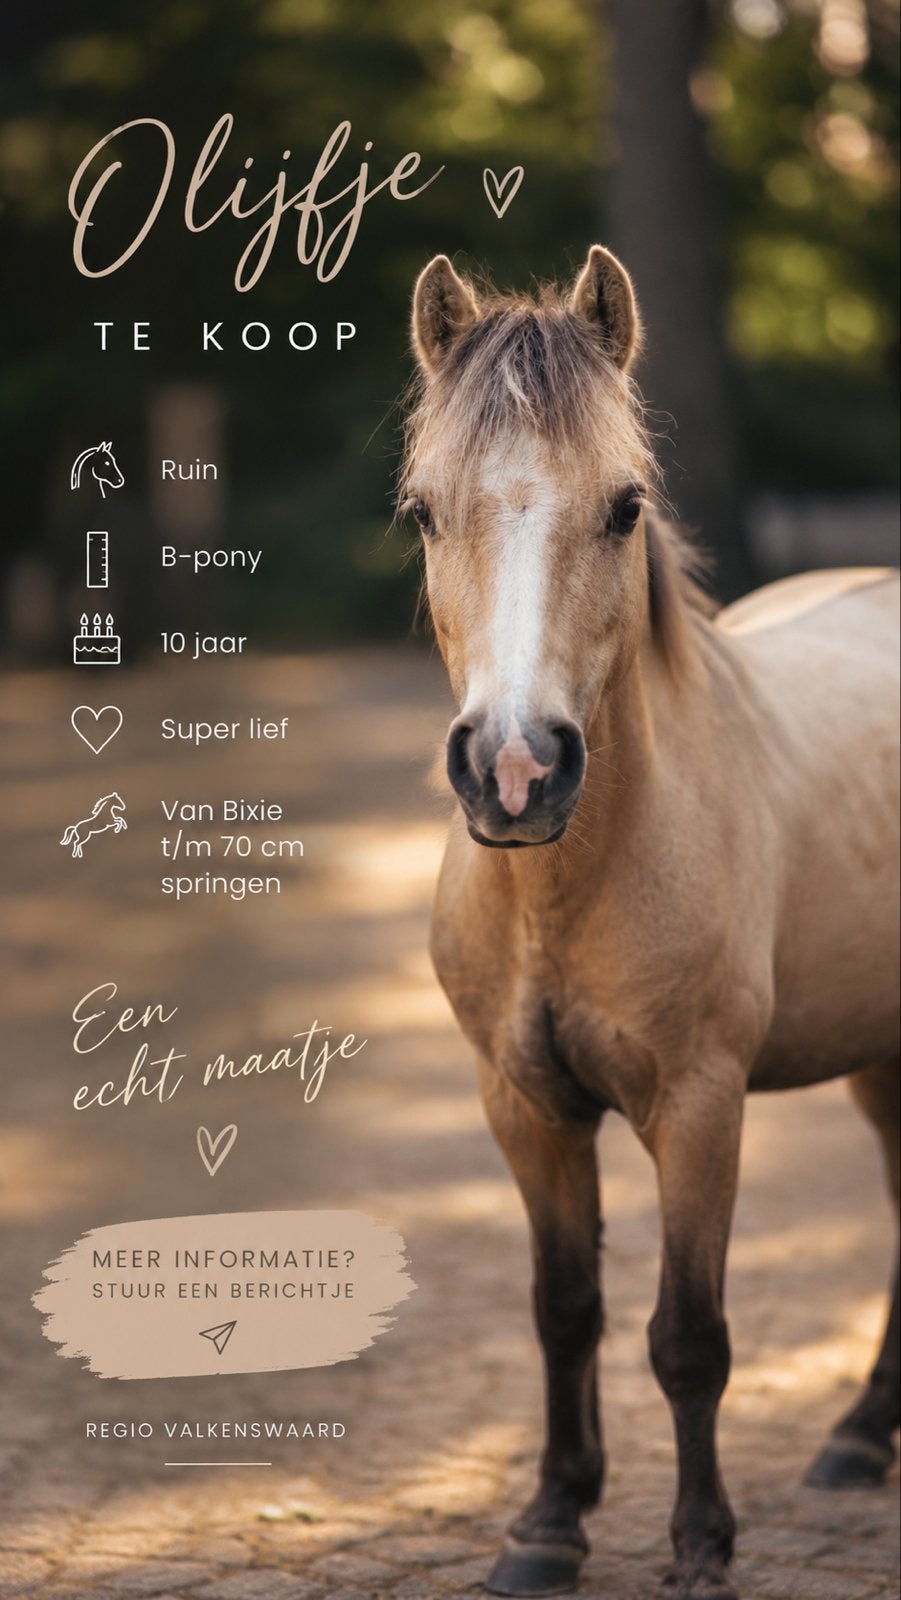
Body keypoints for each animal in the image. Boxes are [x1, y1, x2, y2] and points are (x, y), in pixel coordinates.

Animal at [402, 246, 900, 1600]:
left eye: (625, 506)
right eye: (423, 512)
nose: (516, 770)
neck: (571, 887)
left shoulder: (699, 1103)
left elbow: (688, 1336)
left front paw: (699, 1544)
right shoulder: (520, 1103)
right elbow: (563, 1308)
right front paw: (548, 1522)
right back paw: (859, 1435)